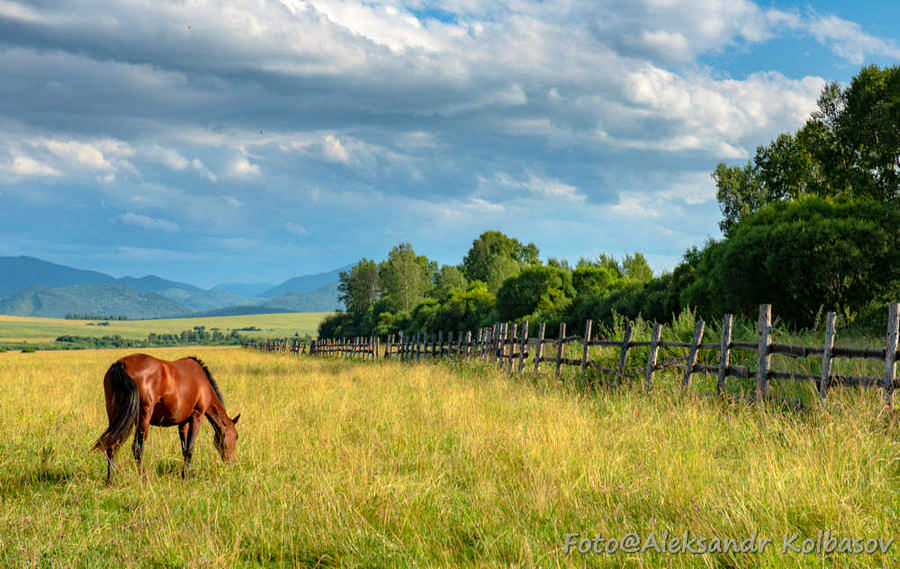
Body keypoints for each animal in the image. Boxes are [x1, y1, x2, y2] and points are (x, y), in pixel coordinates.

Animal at [92, 352, 239, 482]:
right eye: (236, 436)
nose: (232, 463)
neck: (204, 384)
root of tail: (120, 364)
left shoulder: (183, 423)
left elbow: (184, 448)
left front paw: (184, 474)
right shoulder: (197, 417)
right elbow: (190, 449)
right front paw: (186, 477)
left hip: (115, 416)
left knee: (111, 446)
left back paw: (109, 481)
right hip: (143, 417)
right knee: (137, 448)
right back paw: (144, 480)